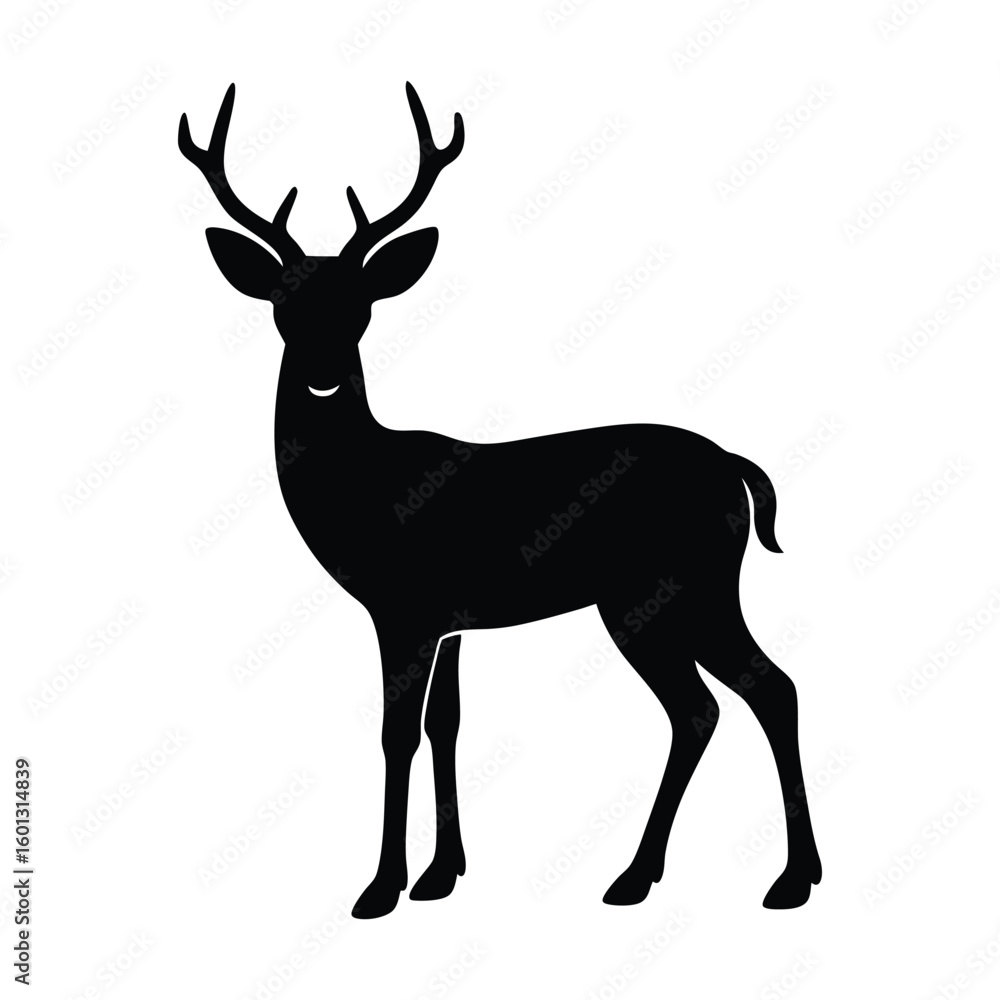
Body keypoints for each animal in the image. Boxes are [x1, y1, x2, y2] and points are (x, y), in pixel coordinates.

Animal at [178, 82, 822, 919]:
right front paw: (441, 875)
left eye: (361, 306)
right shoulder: (453, 621)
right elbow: (447, 725)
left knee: (741, 695)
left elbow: (398, 733)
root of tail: (735, 467)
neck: (365, 482)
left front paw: (379, 888)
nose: (320, 374)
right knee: (729, 700)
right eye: (283, 304)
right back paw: (700, 875)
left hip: (670, 588)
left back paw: (749, 878)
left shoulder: (404, 606)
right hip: (673, 593)